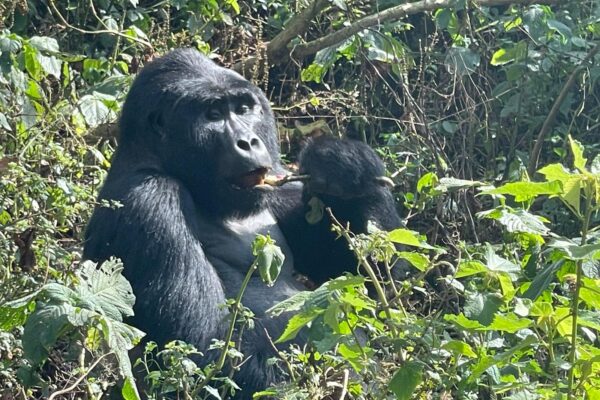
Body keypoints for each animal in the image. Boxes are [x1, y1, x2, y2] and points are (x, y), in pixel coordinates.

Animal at [83, 49, 404, 396]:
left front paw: (343, 164)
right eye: (213, 114)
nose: (249, 141)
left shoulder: (278, 180)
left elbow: (369, 279)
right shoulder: (148, 200)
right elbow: (200, 350)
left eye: (243, 109)